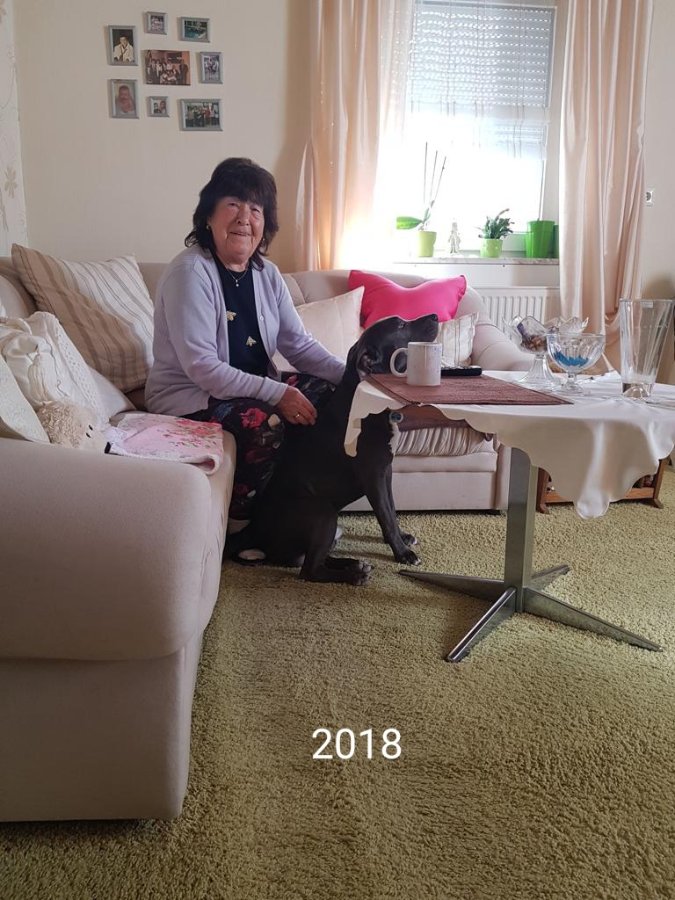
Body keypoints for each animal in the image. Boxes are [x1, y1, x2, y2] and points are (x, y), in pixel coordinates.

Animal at [226, 313, 439, 585]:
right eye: (401, 325)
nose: (435, 316)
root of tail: (254, 529)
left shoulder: (386, 472)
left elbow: (391, 509)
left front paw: (402, 539)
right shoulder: (374, 476)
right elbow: (386, 515)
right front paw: (403, 553)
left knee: (311, 559)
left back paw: (355, 564)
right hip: (324, 513)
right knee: (310, 570)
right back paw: (354, 576)